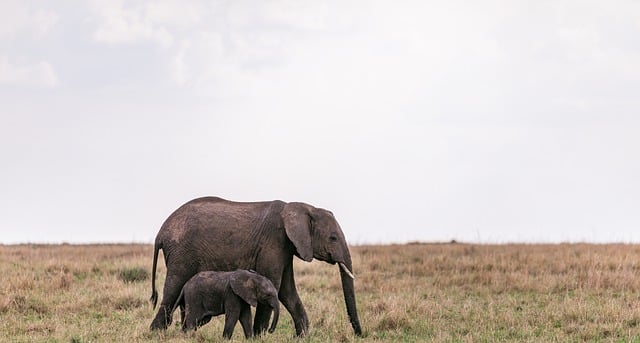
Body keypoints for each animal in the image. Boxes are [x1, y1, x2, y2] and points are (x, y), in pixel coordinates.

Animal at [147, 198, 362, 338]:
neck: (303, 207)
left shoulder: (286, 247)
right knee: (172, 291)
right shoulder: (273, 242)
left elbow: (287, 292)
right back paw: (155, 333)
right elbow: (274, 284)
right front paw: (259, 336)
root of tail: (161, 232)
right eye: (333, 238)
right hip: (181, 253)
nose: (359, 335)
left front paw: (302, 337)